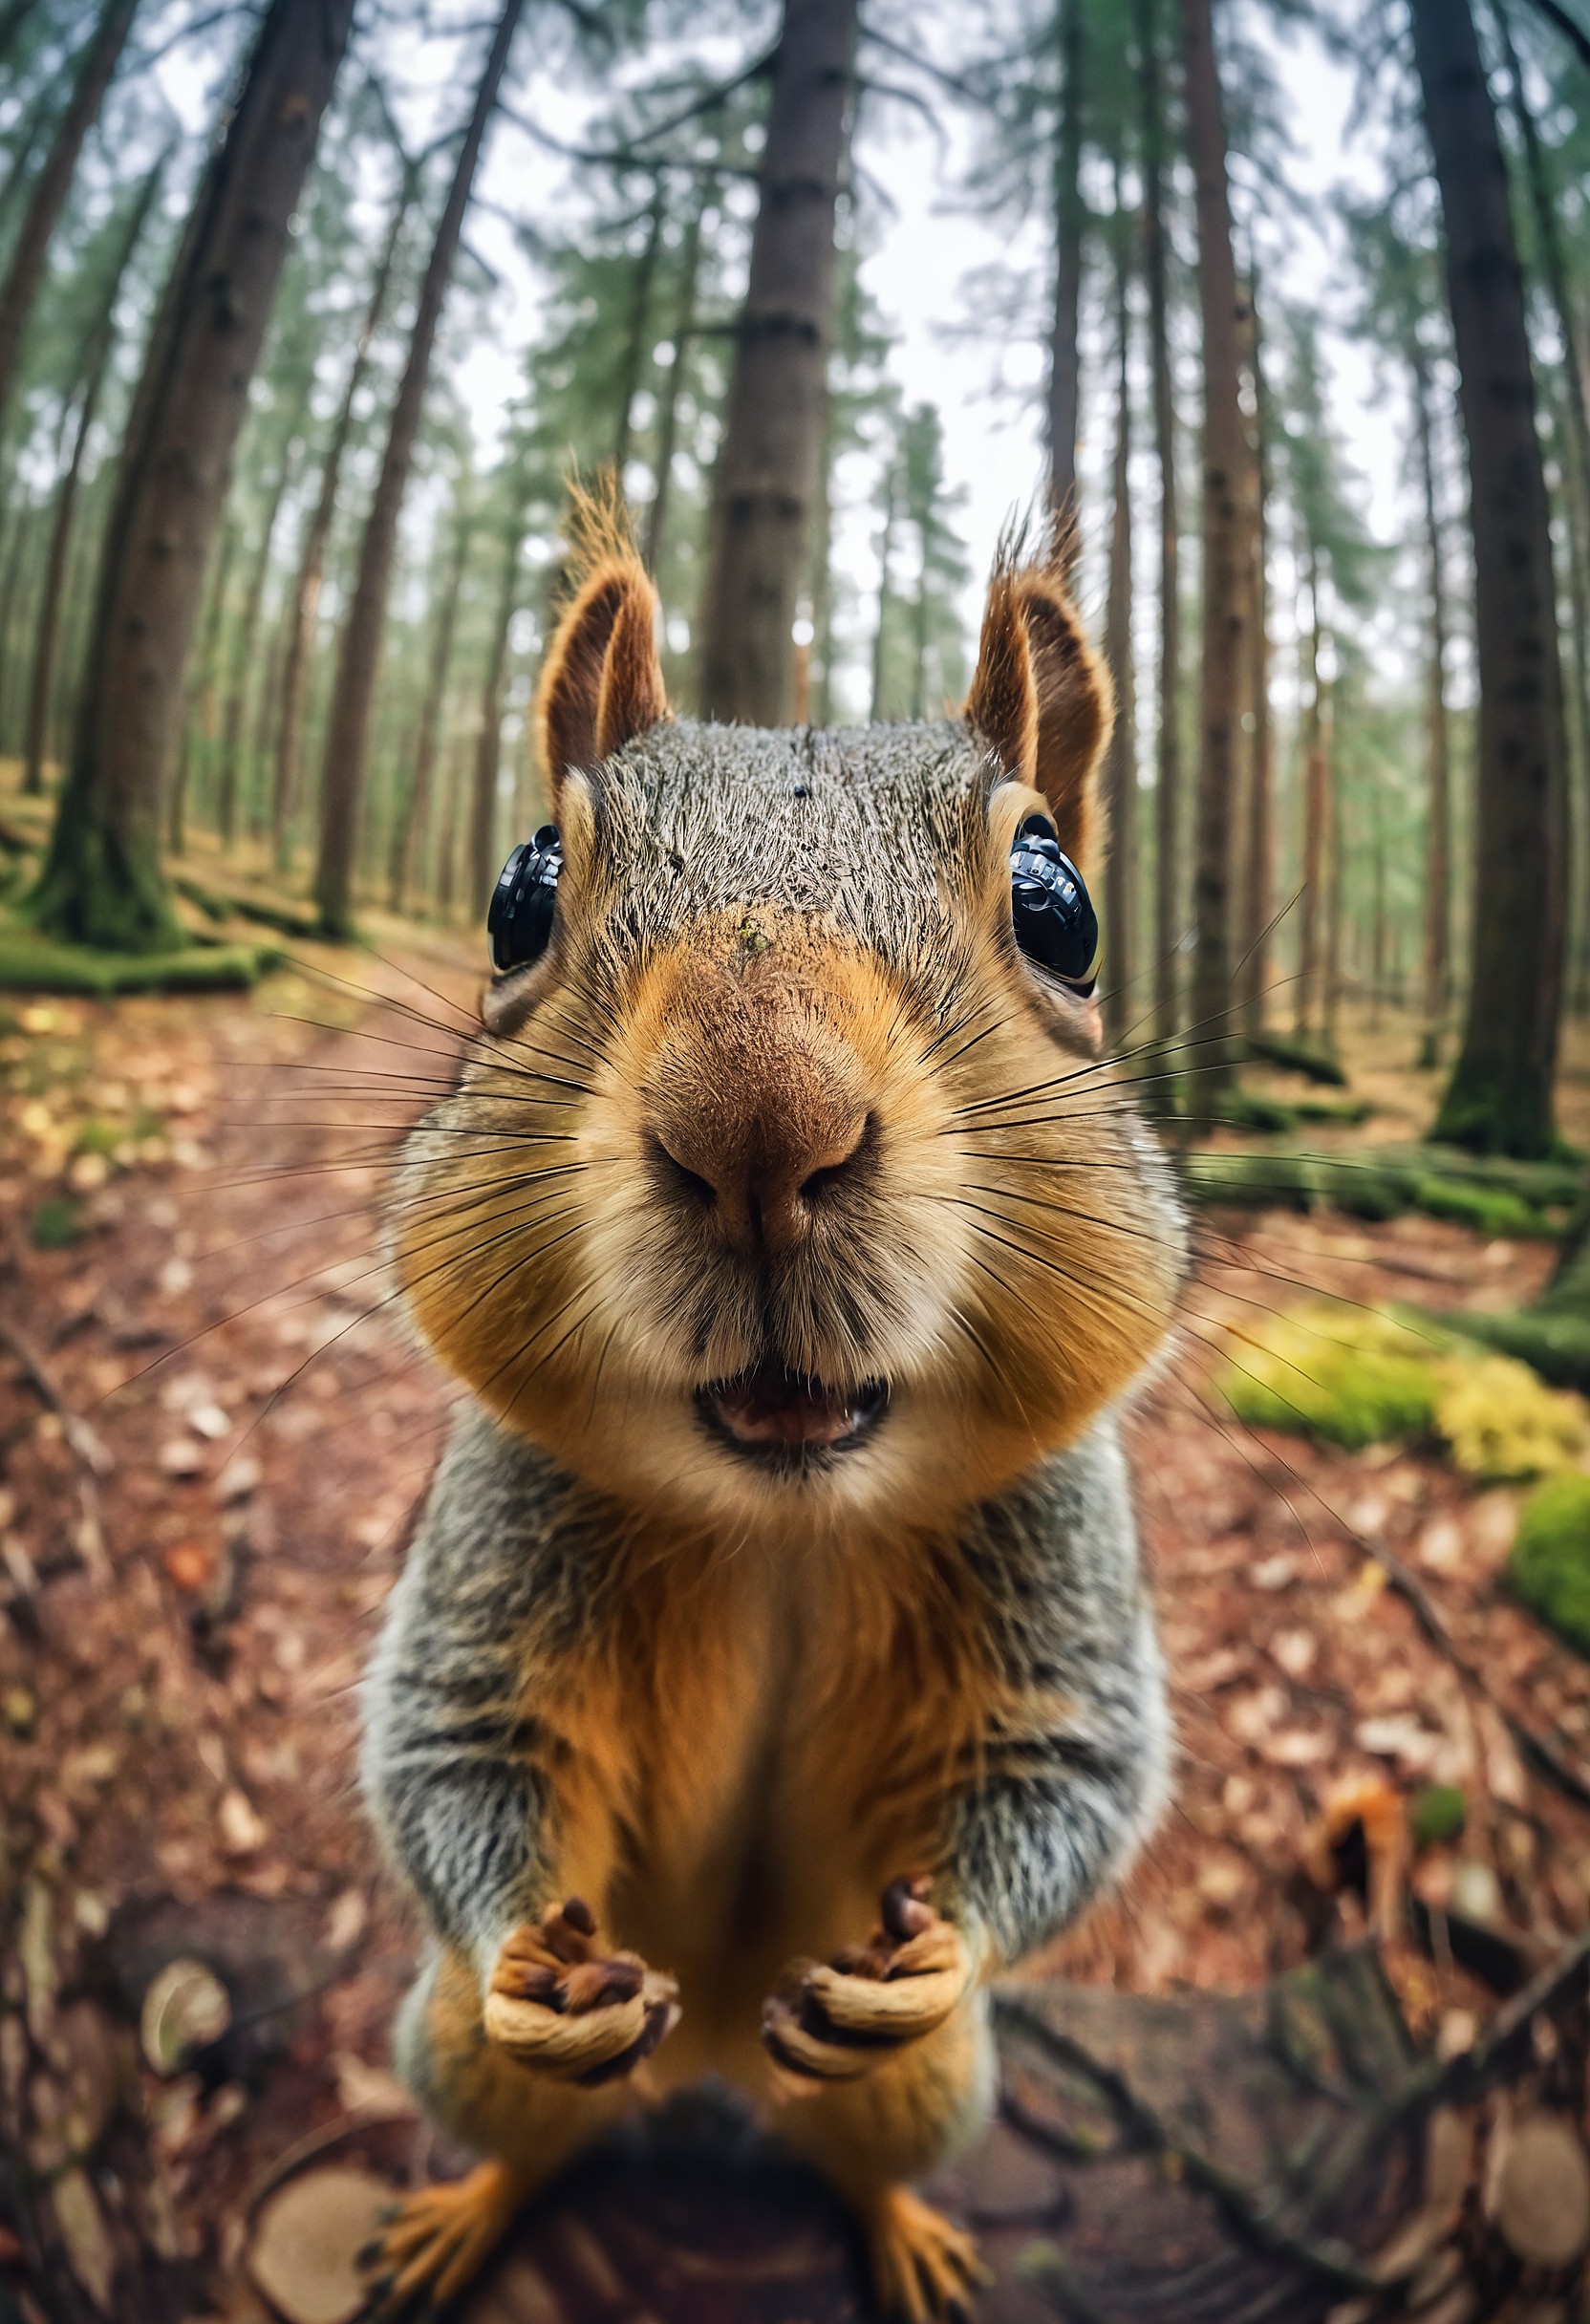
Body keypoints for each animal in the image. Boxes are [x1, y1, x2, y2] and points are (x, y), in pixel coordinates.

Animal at [356, 501, 1186, 2323]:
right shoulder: (494, 1535)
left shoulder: (1062, 1551)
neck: (780, 1521)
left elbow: (1069, 1768)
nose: (757, 1110)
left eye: (1062, 908)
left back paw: (907, 2231)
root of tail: (717, 2051)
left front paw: (937, 1949)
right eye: (520, 893)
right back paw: (469, 2205)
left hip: (928, 2085)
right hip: (448, 2044)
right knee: (525, 2120)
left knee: (864, 2131)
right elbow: (455, 1738)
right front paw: (523, 1949)